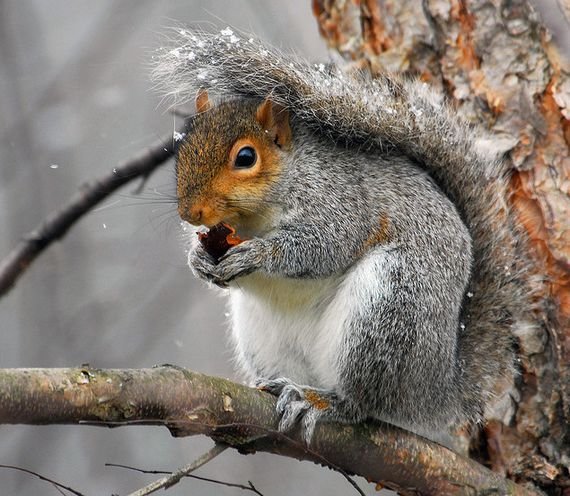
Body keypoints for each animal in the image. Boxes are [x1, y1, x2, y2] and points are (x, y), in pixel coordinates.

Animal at [151, 29, 528, 444]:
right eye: (184, 148)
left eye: (246, 157)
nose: (191, 213)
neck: (254, 218)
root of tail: (435, 391)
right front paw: (197, 258)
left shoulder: (341, 204)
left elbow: (320, 247)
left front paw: (257, 254)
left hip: (390, 308)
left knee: (362, 403)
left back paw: (321, 401)